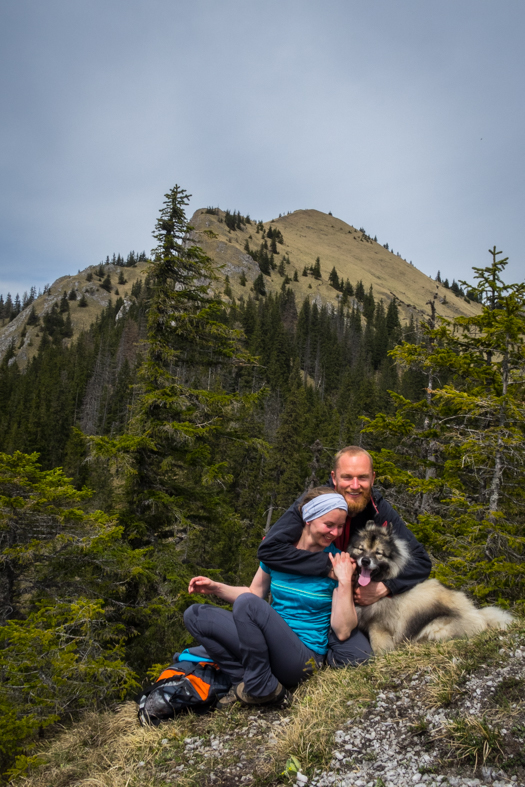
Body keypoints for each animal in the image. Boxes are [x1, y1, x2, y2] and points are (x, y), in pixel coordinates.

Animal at [348, 520, 512, 656]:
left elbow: (379, 647)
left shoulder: (379, 627)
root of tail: (479, 615)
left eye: (378, 553)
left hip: (435, 627)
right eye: (361, 549)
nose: (365, 561)